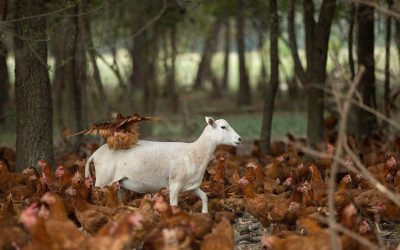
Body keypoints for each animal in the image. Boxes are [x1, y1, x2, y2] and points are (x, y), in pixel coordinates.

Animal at [84, 117, 241, 213]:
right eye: (223, 127)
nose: (239, 139)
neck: (195, 151)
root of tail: (94, 154)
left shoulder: (191, 185)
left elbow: (204, 197)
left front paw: (204, 213)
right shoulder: (175, 184)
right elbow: (174, 205)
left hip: (120, 183)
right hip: (102, 179)